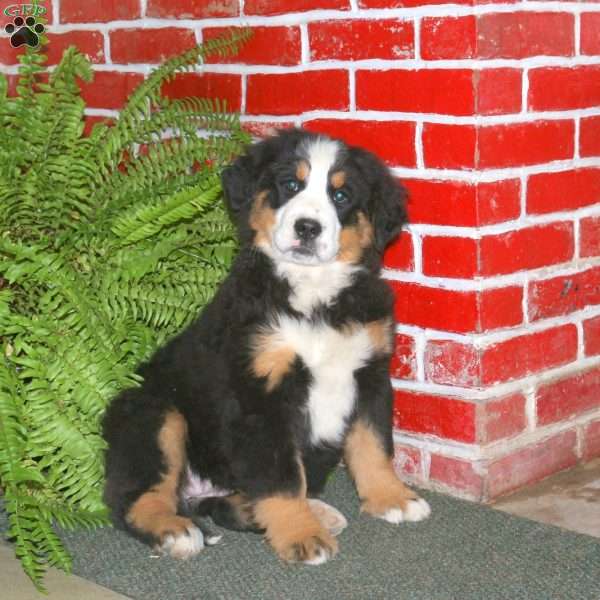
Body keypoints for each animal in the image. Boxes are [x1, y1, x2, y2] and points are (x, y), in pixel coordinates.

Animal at [104, 129, 432, 564]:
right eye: (290, 185)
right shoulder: (262, 393)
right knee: (133, 498)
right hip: (155, 413)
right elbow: (282, 476)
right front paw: (301, 535)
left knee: (224, 504)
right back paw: (174, 530)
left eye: (341, 196)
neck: (315, 298)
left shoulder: (370, 373)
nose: (308, 227)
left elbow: (374, 445)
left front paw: (391, 497)